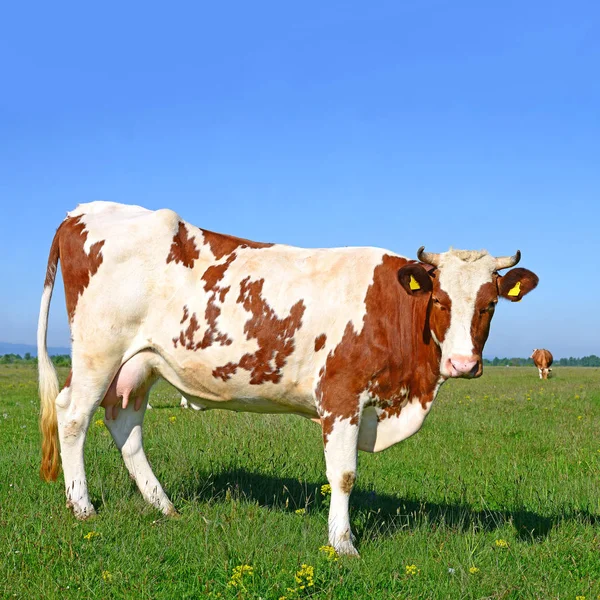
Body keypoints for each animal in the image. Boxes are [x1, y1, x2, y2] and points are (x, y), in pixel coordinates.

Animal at [37, 203, 540, 556]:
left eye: (490, 303)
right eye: (438, 299)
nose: (462, 363)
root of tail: (82, 211)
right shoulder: (340, 395)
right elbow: (343, 475)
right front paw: (343, 544)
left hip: (139, 364)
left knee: (124, 425)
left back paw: (164, 506)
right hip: (98, 352)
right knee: (73, 416)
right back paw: (82, 507)